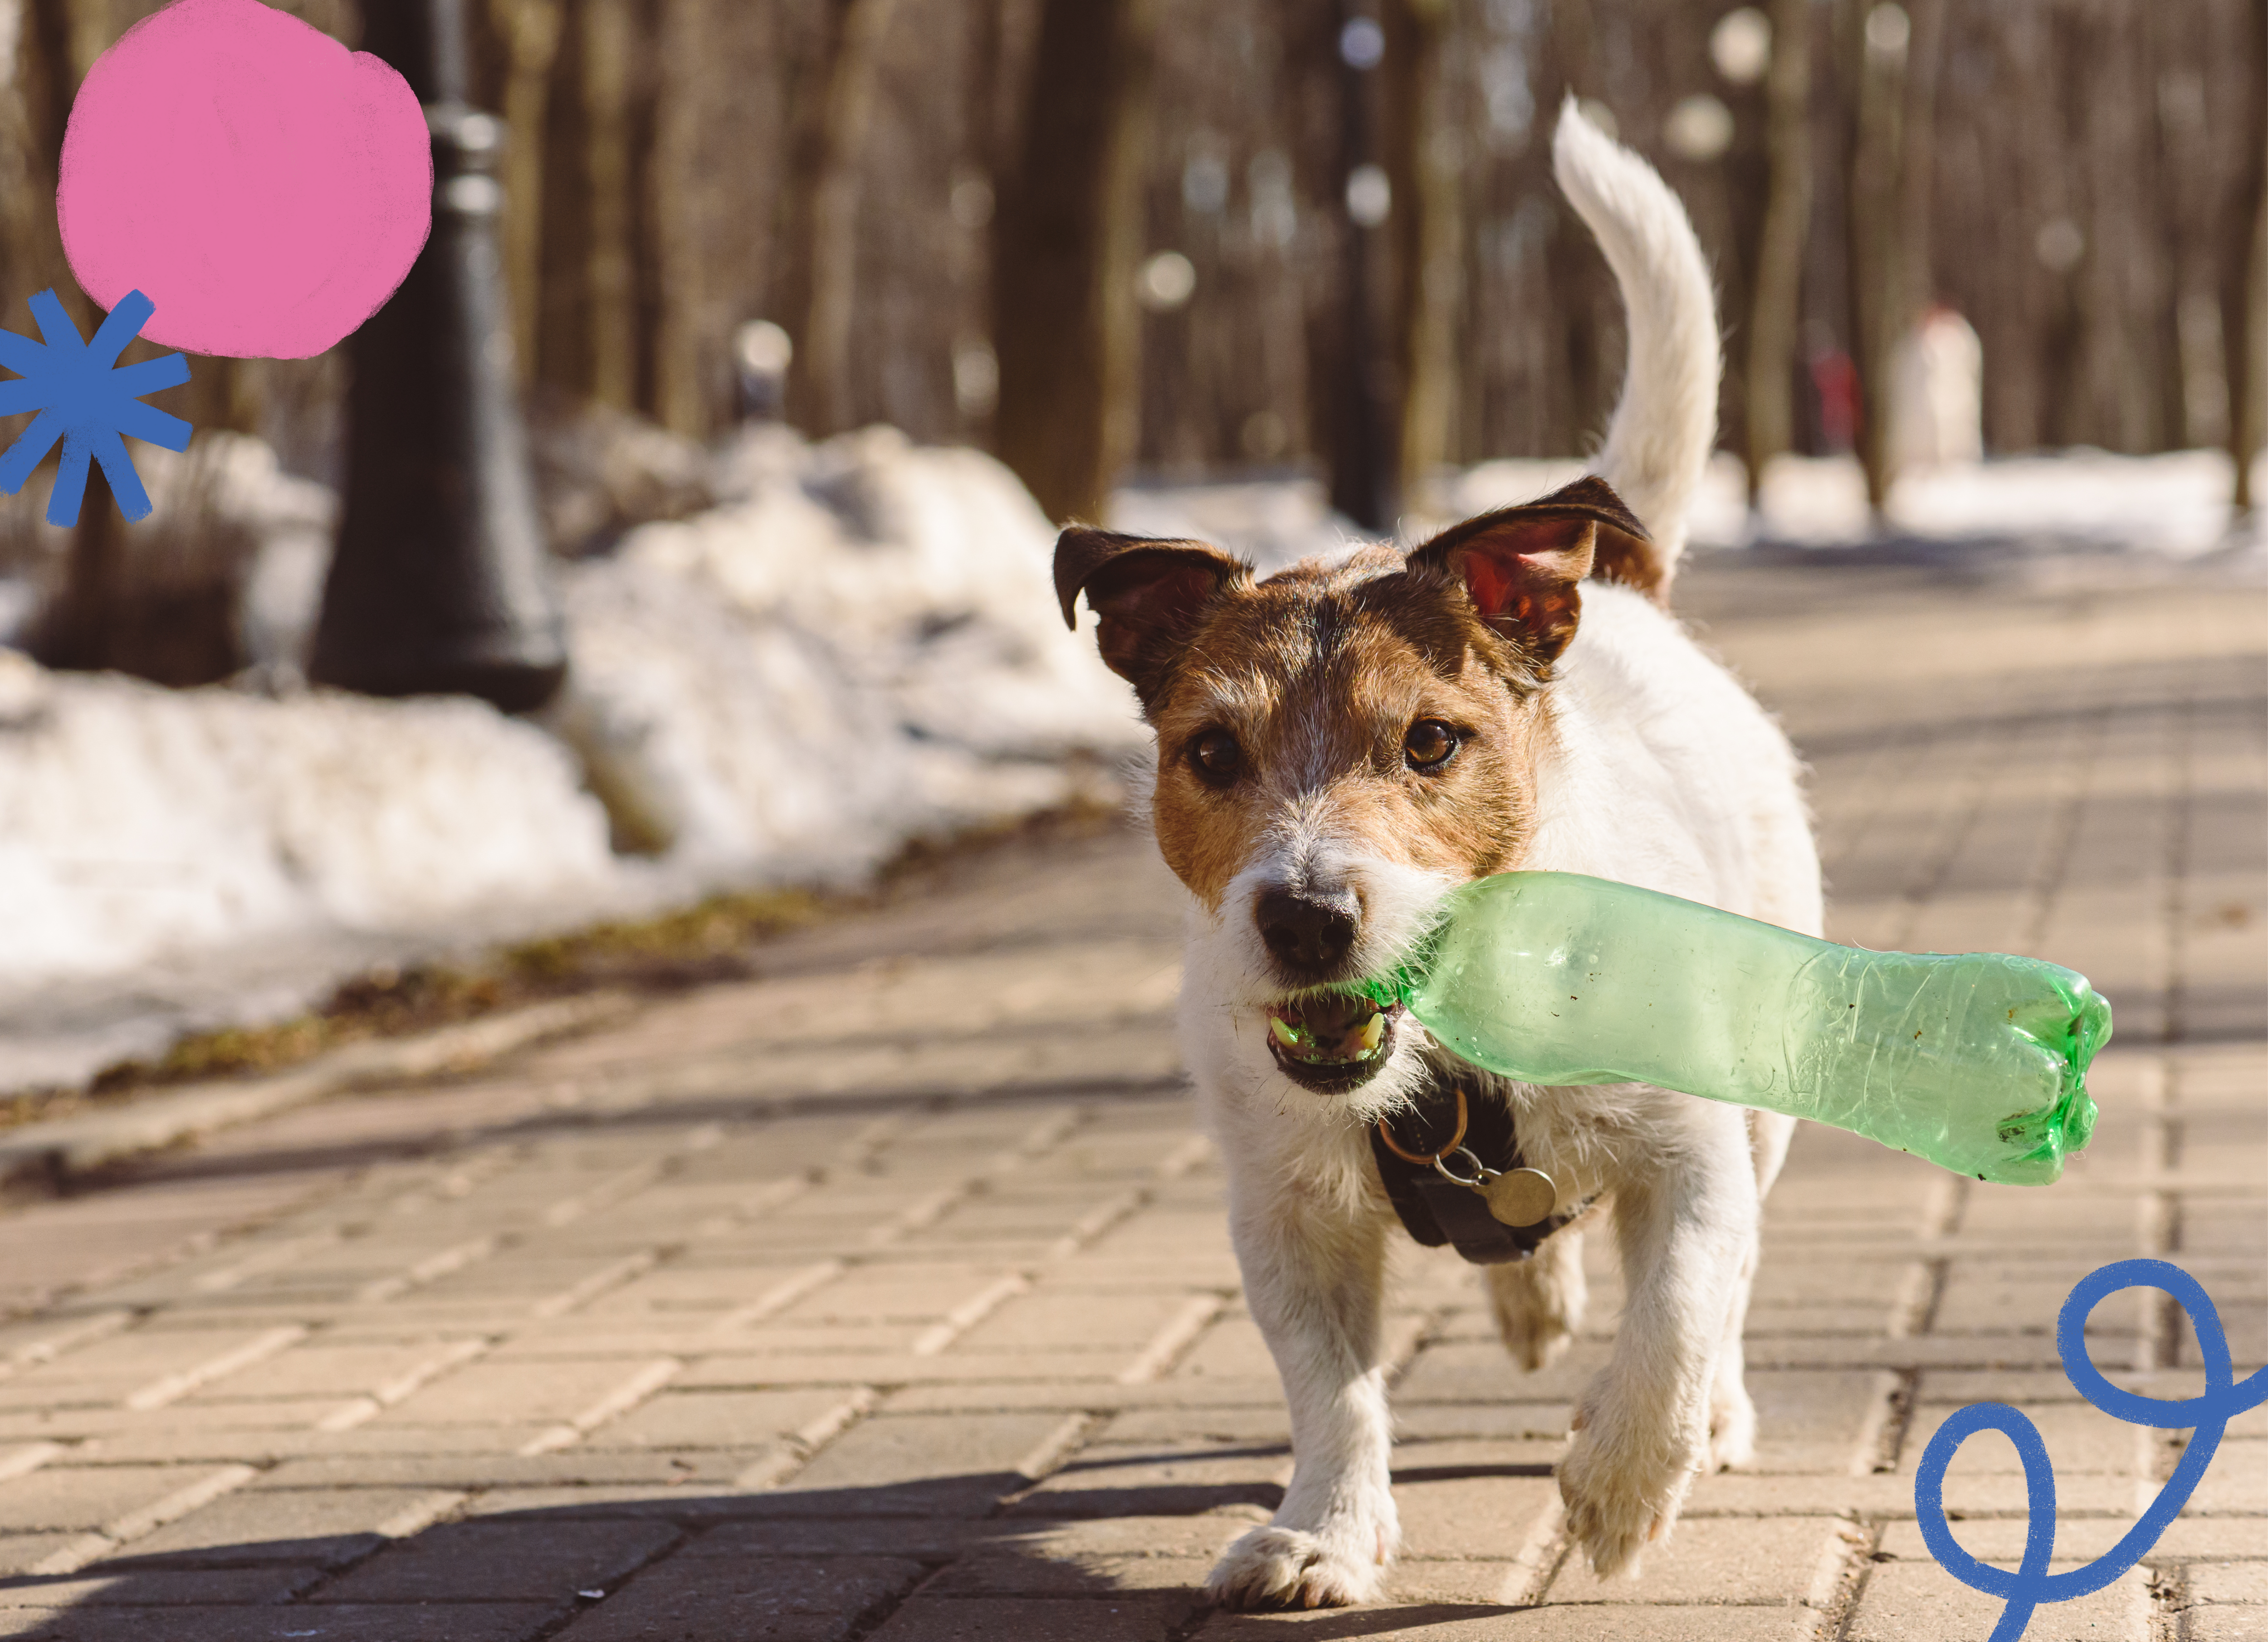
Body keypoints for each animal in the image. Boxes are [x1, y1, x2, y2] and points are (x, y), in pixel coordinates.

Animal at [1052, 99, 1814, 1605]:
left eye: (1429, 742)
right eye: (1210, 753)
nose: (1302, 917)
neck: (1454, 1061)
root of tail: (1619, 591)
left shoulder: (1693, 1150)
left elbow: (1684, 1300)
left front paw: (1626, 1479)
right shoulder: (1286, 1211)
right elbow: (1330, 1385)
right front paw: (1325, 1529)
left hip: (1765, 1079)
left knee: (1729, 1281)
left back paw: (1706, 1412)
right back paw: (1529, 1289)